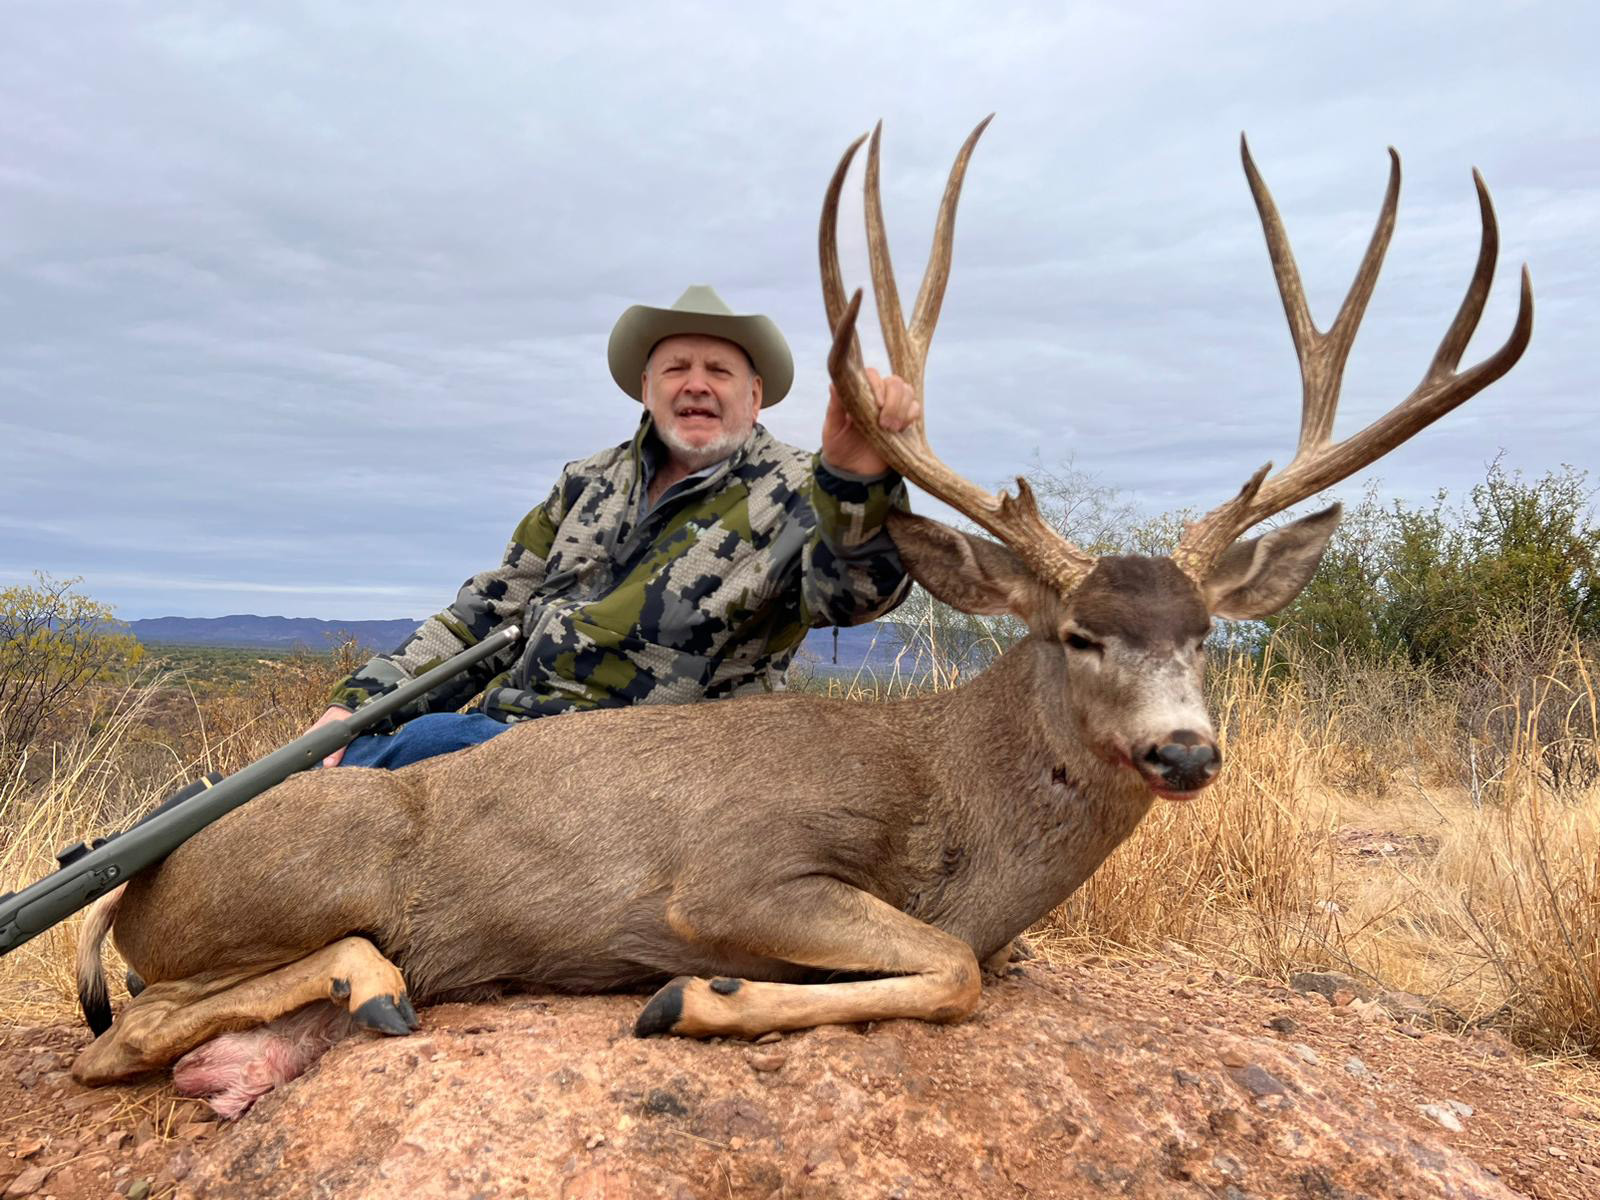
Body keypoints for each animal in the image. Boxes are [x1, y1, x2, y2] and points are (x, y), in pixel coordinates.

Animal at [70, 119, 1532, 1118]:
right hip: (309, 871)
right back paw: (371, 984)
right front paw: (689, 997)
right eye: (1076, 633)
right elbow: (948, 967)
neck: (960, 807)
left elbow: (967, 966)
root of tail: (141, 871)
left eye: (1206, 635)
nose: (1185, 750)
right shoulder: (737, 873)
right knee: (130, 1029)